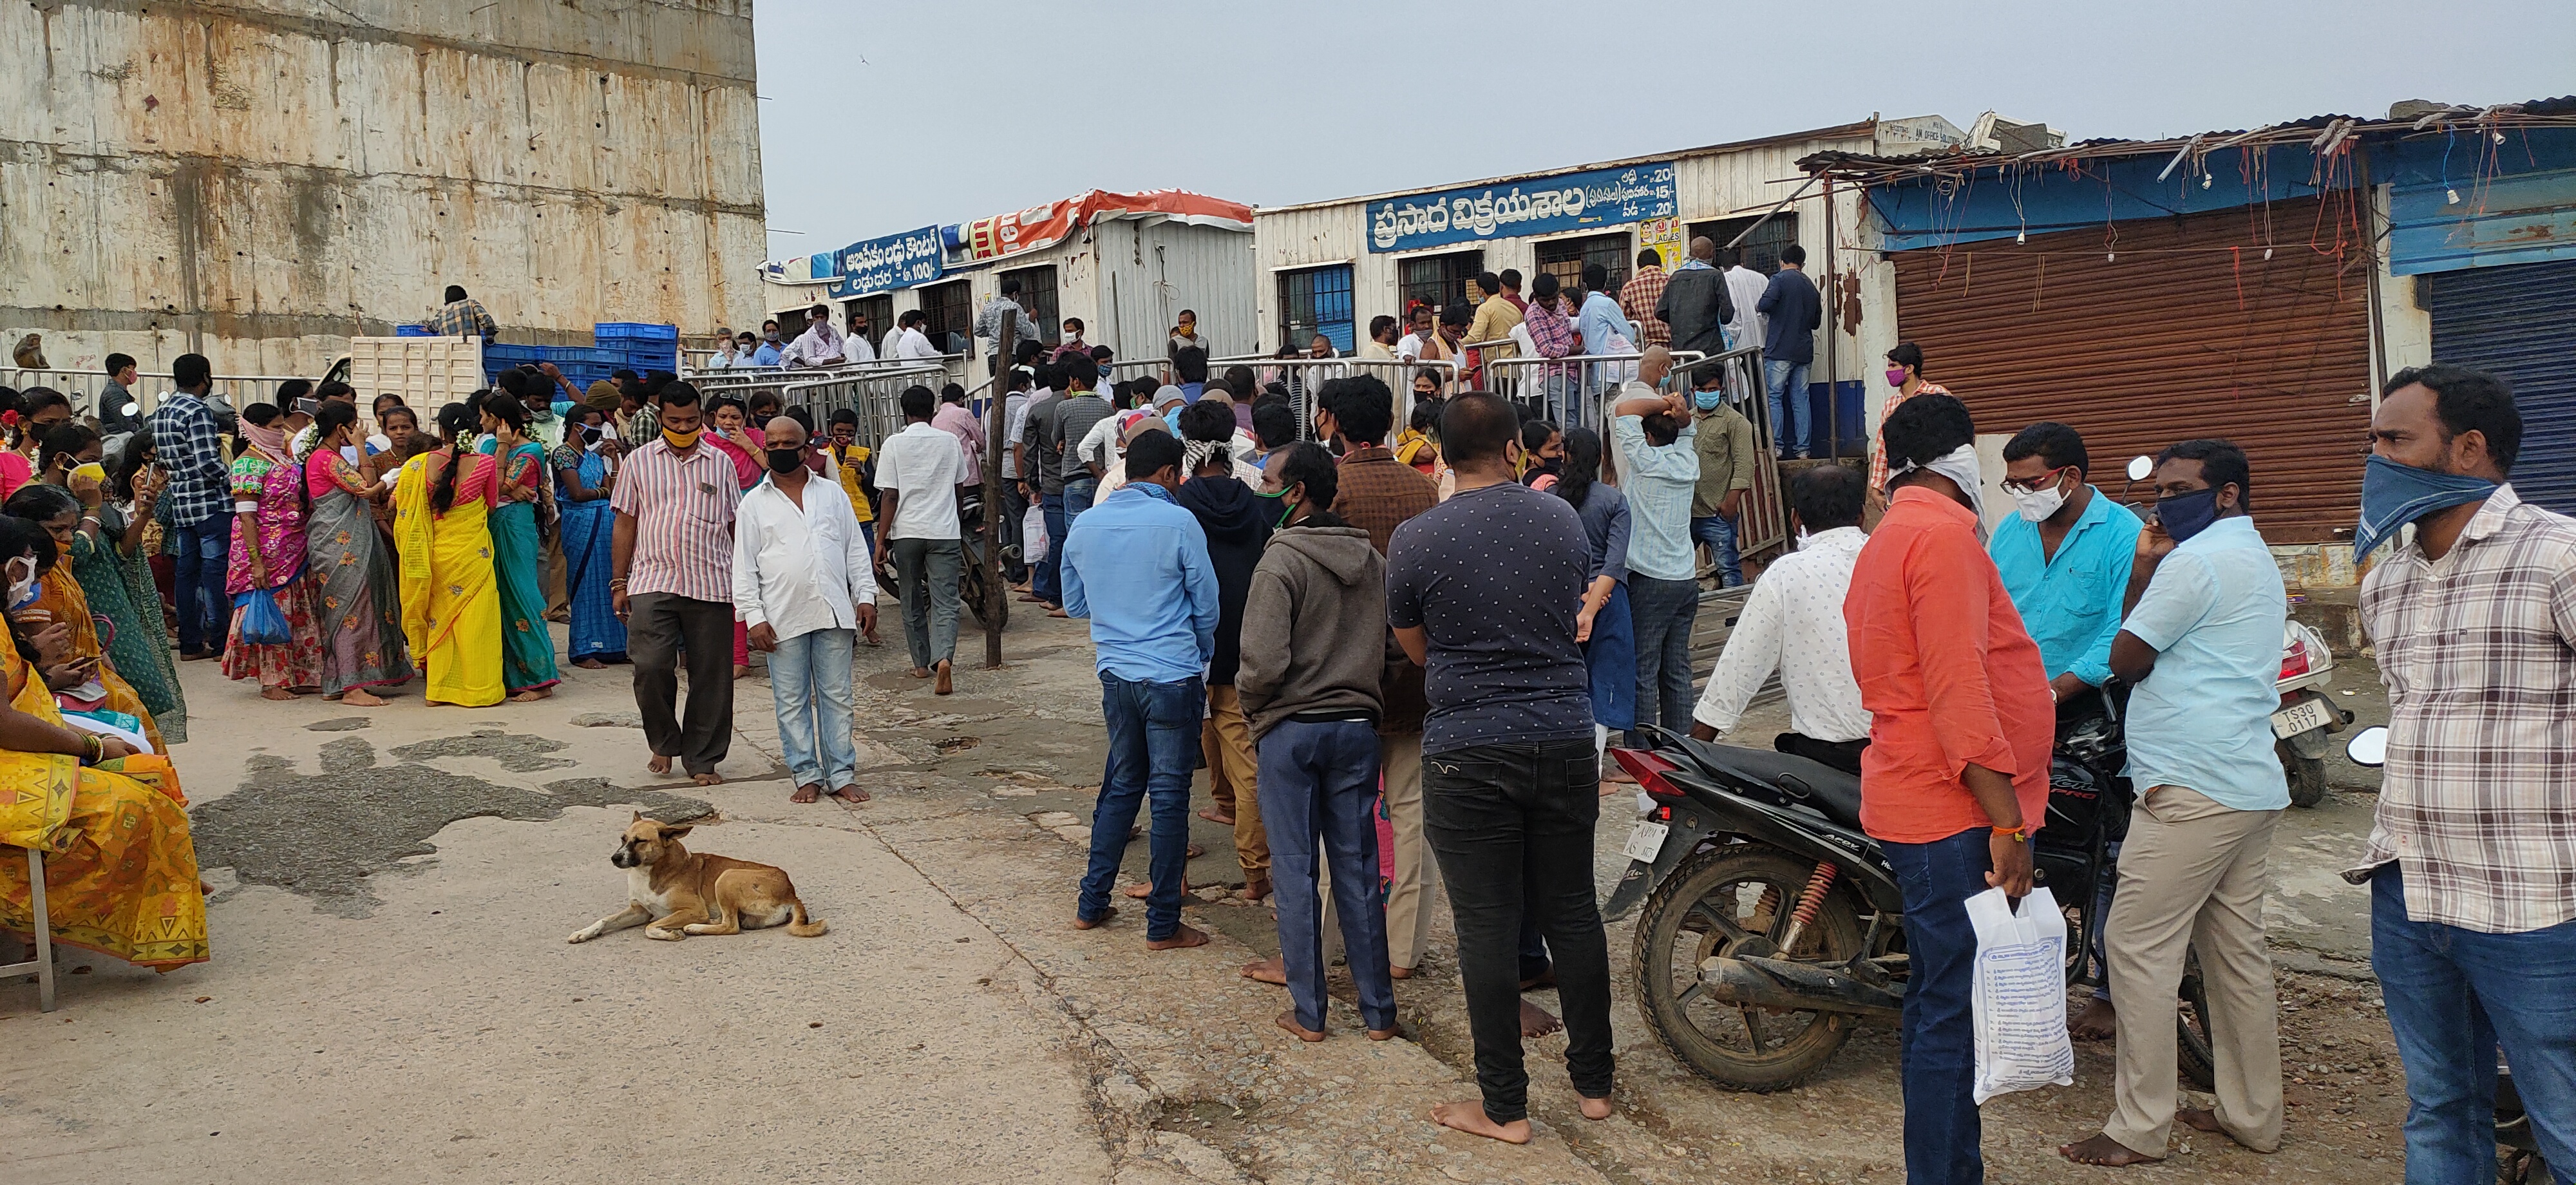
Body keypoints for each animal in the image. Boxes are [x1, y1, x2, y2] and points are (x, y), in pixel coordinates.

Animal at [564, 814, 824, 943]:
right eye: (623, 838)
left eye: (640, 841)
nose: (615, 858)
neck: (653, 871)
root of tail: (792, 893)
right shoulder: (639, 911)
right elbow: (606, 920)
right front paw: (584, 933)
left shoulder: (692, 910)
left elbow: (650, 927)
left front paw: (670, 933)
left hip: (726, 877)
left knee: (731, 927)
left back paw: (696, 928)